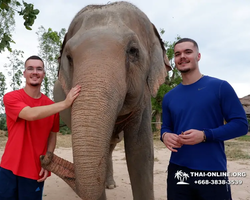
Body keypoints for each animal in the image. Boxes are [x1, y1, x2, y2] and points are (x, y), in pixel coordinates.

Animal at [40, 1, 171, 200]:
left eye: (133, 51)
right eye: (69, 58)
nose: (44, 157)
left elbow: (141, 152)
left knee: (110, 145)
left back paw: (110, 184)